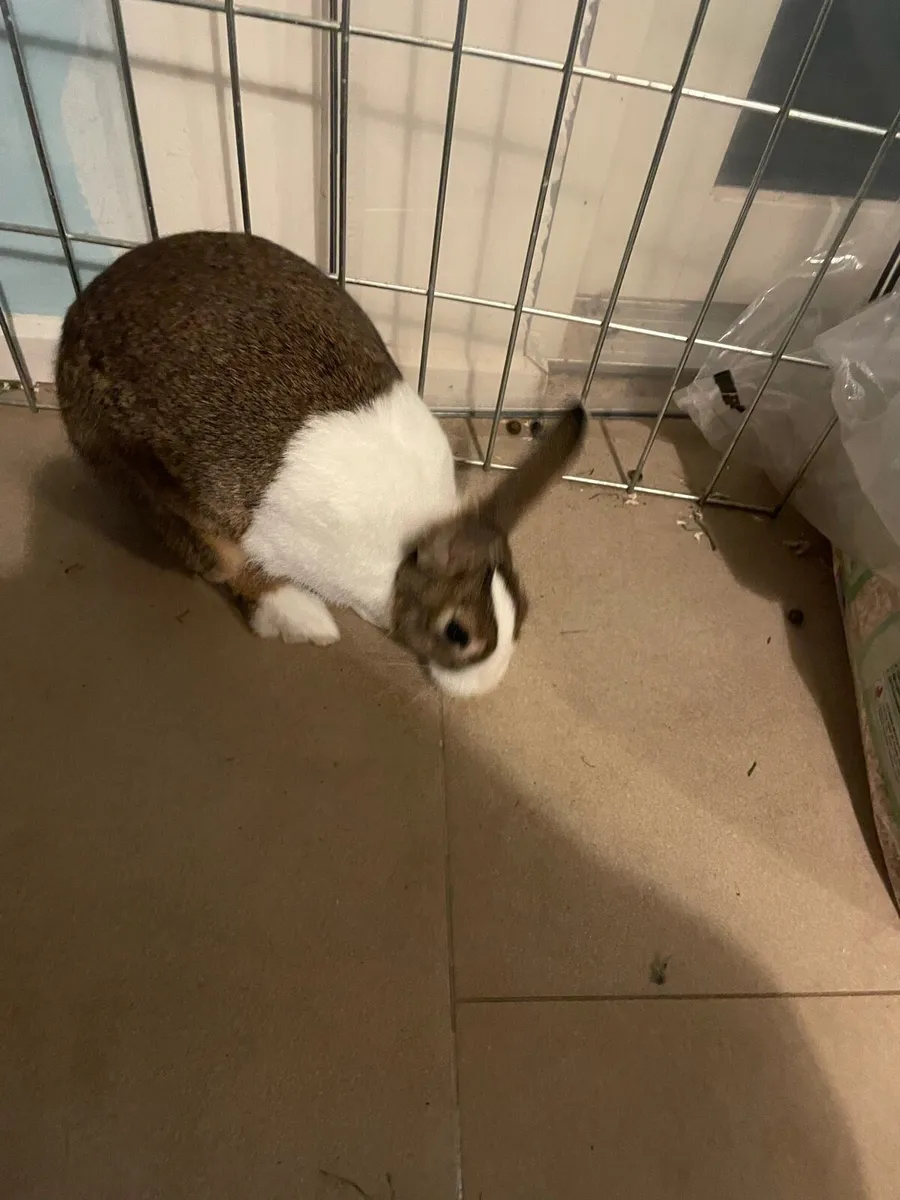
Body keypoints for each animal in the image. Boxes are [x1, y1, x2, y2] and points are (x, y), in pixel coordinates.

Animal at [55, 231, 585, 697]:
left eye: (523, 608)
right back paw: (302, 616)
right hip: (144, 477)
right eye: (457, 633)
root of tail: (73, 321)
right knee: (220, 563)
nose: (482, 689)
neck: (404, 560)